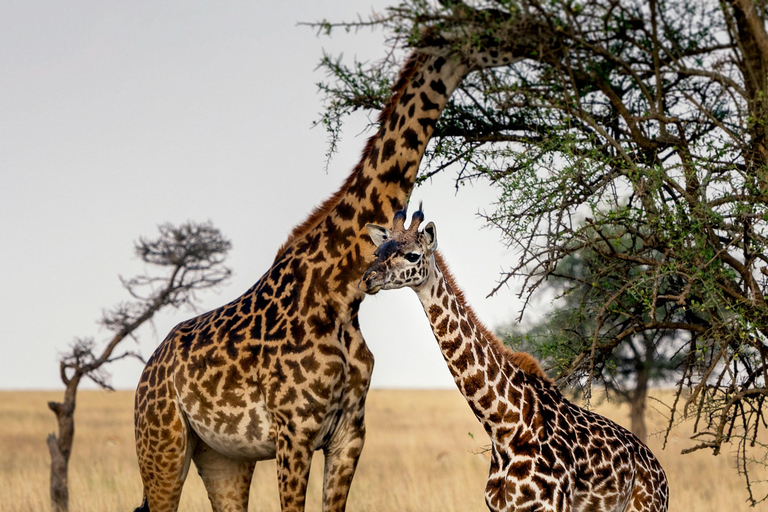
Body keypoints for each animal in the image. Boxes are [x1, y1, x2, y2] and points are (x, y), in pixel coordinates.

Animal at [130, 17, 540, 512]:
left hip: (223, 456)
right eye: (478, 29)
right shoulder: (294, 433)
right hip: (163, 443)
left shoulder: (350, 433)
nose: (532, 37)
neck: (339, 293)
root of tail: (148, 372)